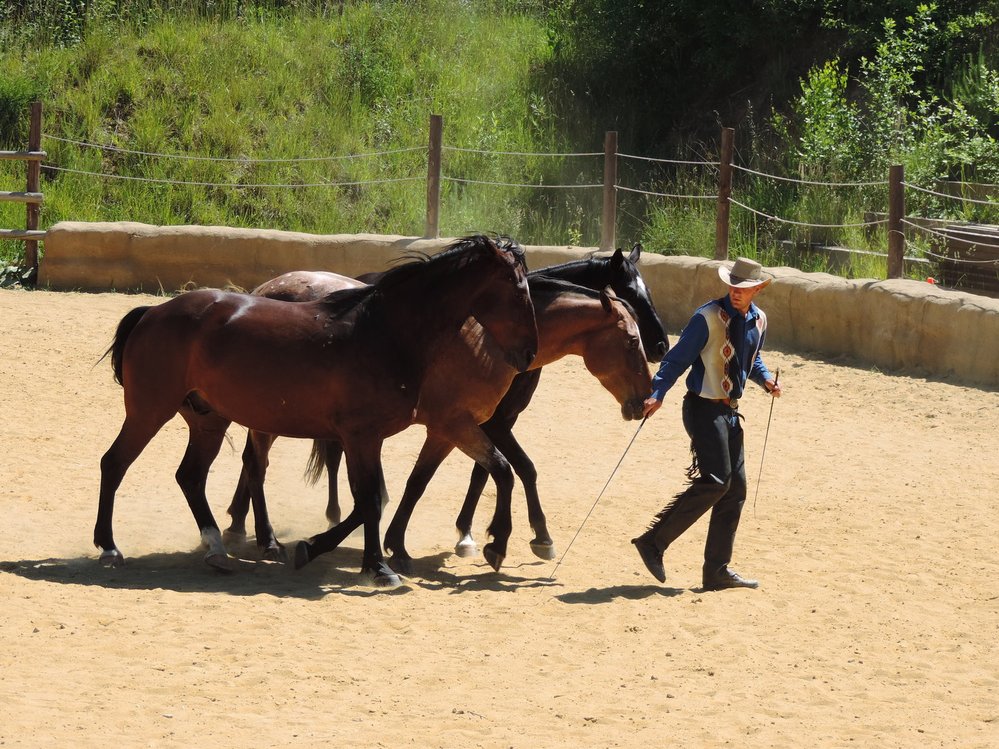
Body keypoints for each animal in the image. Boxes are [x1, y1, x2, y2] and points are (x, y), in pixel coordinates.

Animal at [95, 234, 540, 584]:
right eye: (519, 291)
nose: (528, 353)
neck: (385, 332)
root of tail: (152, 312)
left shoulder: (373, 437)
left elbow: (372, 500)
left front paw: (335, 553)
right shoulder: (362, 435)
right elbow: (370, 500)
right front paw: (377, 567)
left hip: (209, 421)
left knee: (191, 476)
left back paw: (218, 549)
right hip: (150, 411)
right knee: (114, 463)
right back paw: (109, 548)